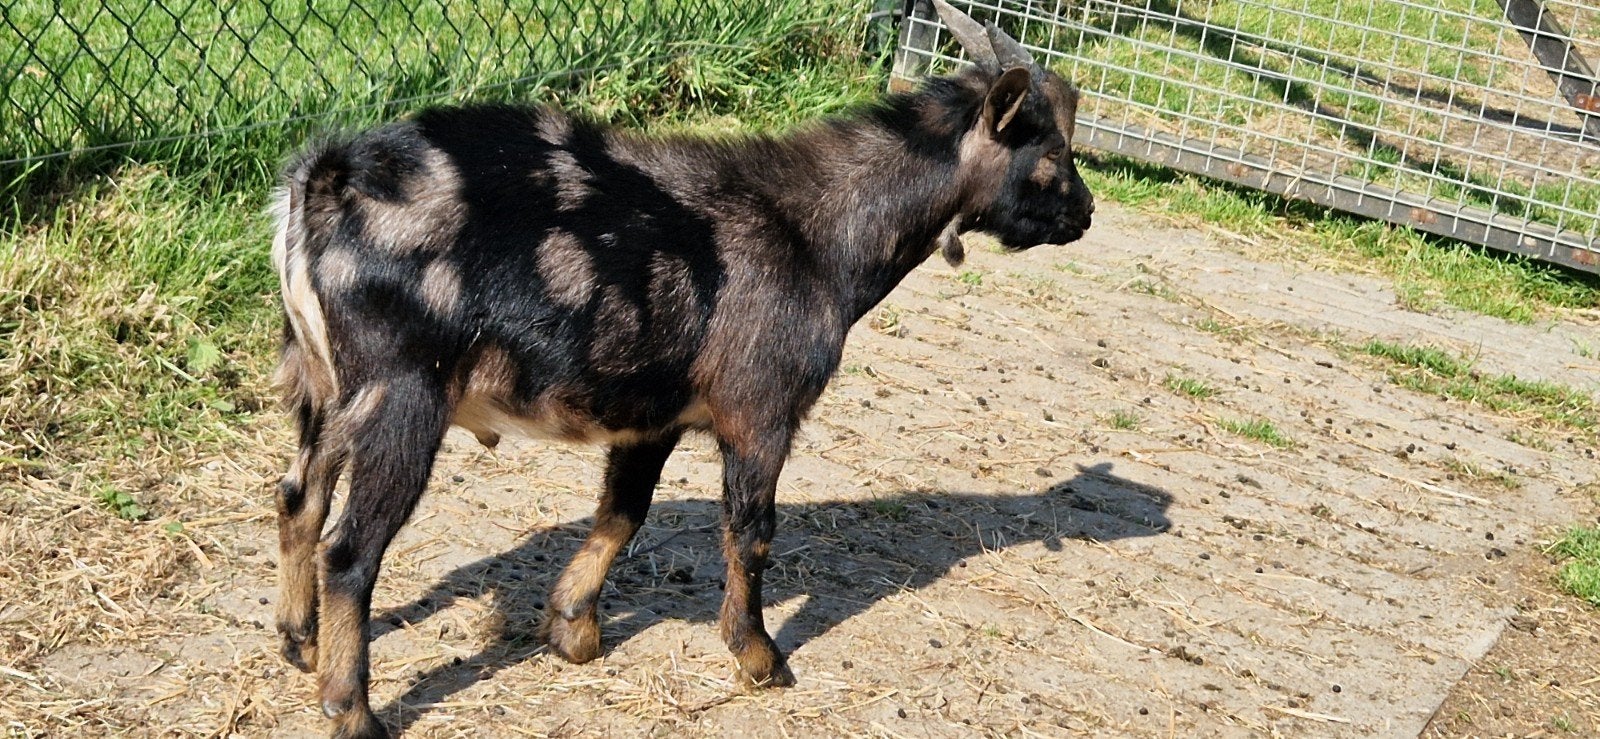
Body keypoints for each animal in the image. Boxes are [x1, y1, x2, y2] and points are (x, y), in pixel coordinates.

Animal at [270, 2, 1092, 736]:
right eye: (1052, 155)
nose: (1084, 216)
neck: (818, 234)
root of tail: (323, 183)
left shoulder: (651, 415)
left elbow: (623, 512)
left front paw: (572, 628)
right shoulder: (761, 410)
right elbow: (751, 531)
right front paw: (759, 656)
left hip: (326, 386)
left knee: (298, 498)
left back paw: (298, 642)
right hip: (402, 395)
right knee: (351, 551)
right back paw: (352, 710)